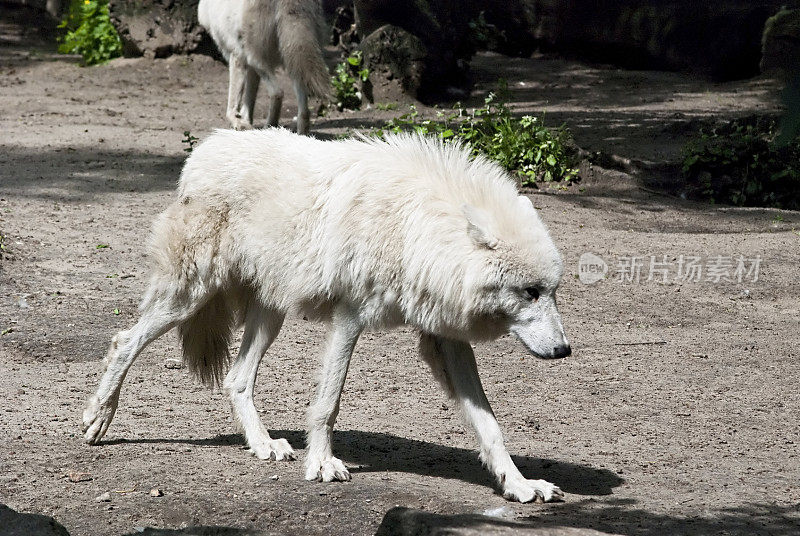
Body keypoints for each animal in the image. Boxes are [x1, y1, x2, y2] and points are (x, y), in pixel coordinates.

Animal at [81, 129, 568, 502]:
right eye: (530, 293)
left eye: (552, 292)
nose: (564, 350)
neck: (415, 228)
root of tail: (203, 151)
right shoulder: (350, 318)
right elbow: (327, 403)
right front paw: (322, 463)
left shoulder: (447, 339)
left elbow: (491, 426)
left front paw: (521, 486)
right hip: (190, 297)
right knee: (124, 341)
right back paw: (98, 418)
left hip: (269, 315)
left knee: (236, 379)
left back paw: (265, 445)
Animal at [198, 0, 330, 134]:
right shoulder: (250, 69)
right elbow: (249, 101)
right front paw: (246, 122)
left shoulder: (237, 57)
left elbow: (233, 105)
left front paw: (239, 123)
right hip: (293, 62)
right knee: (304, 111)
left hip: (255, 59)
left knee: (277, 92)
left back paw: (270, 127)